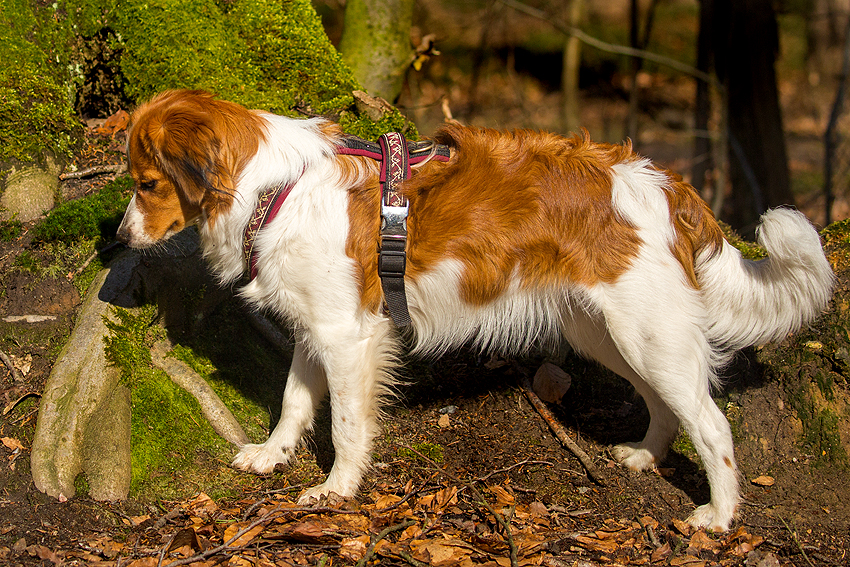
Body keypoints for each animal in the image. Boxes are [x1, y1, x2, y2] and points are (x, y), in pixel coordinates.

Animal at [116, 90, 832, 532]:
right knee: (664, 402)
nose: (118, 239)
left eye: (147, 184)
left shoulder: (347, 337)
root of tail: (663, 181)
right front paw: (273, 454)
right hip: (607, 332)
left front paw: (338, 490)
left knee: (712, 424)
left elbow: (345, 424)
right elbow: (294, 400)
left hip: (646, 330)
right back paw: (645, 457)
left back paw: (720, 517)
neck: (275, 187)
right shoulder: (317, 330)